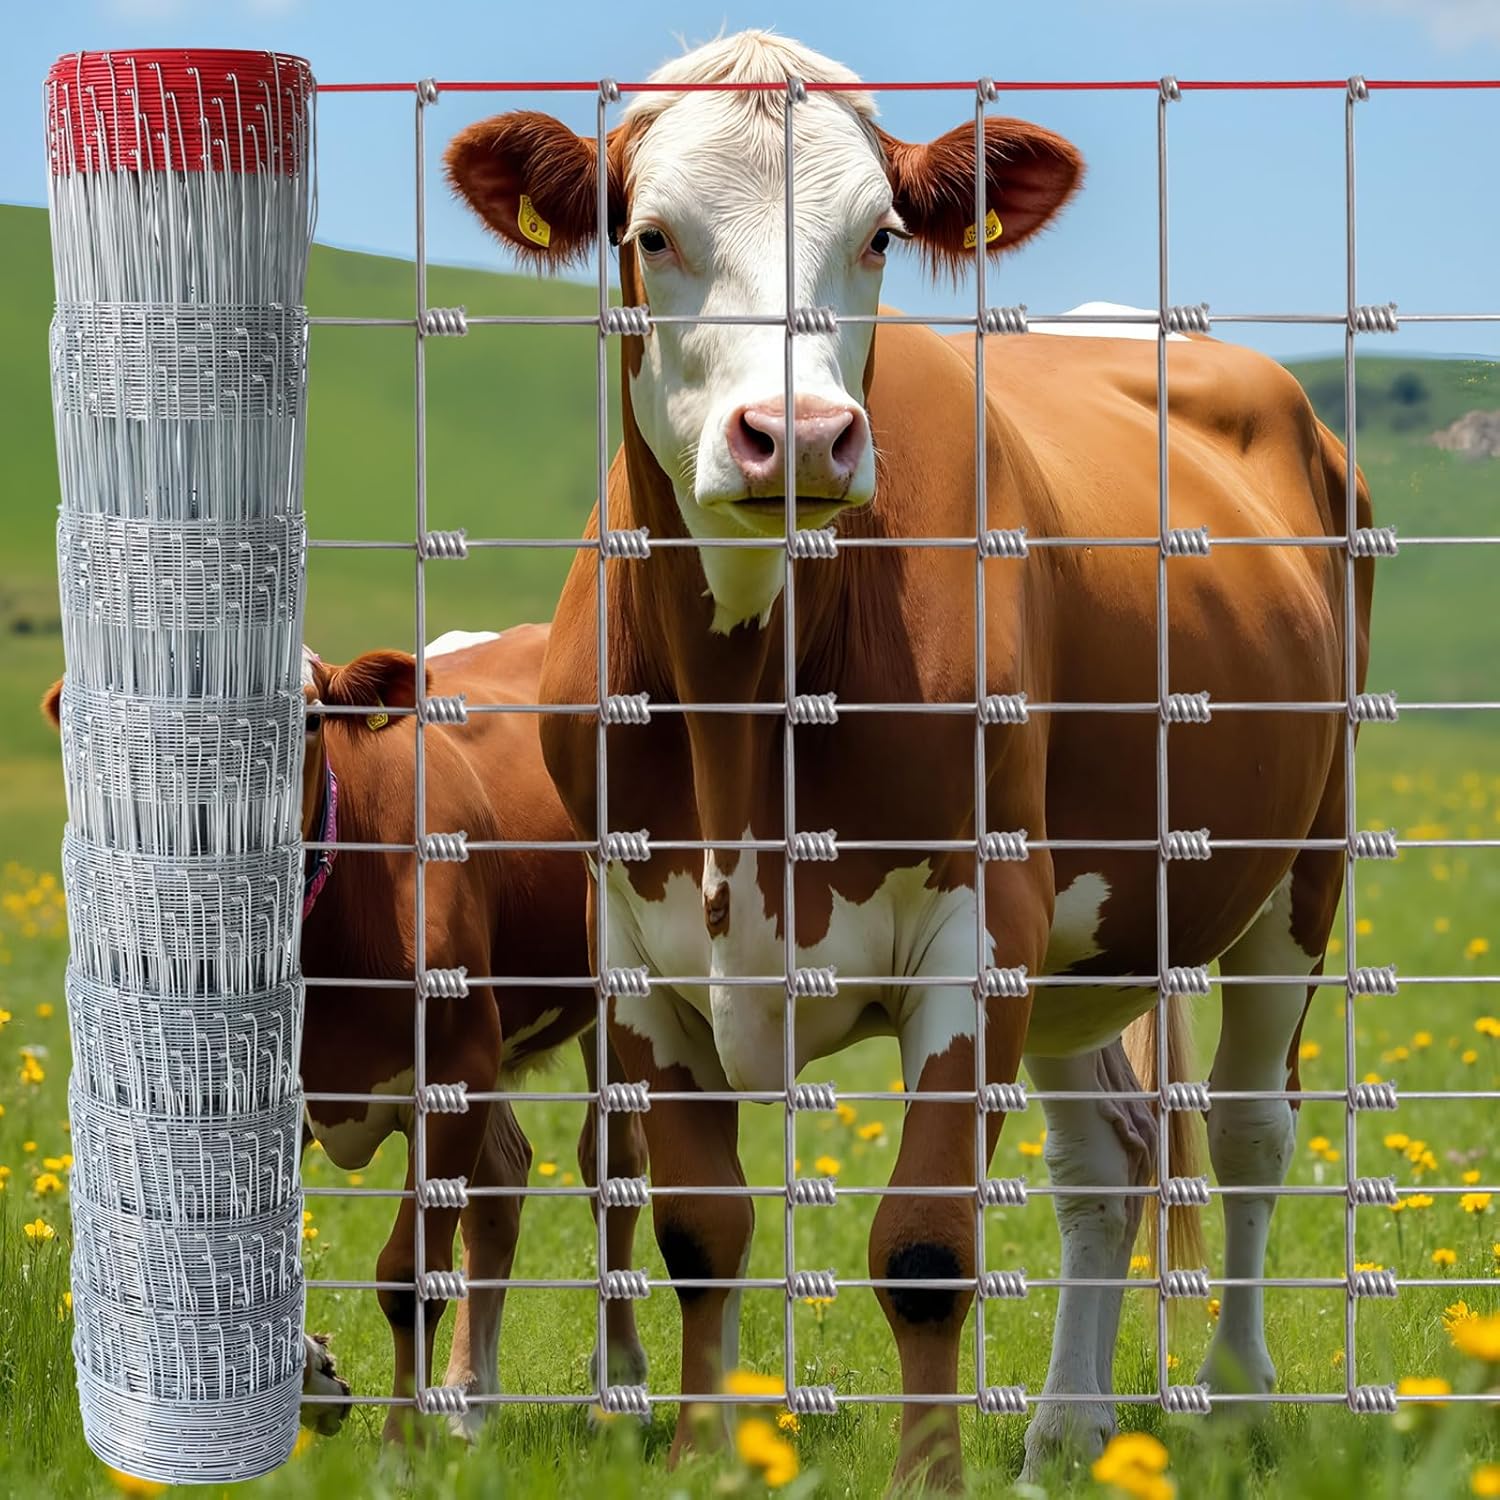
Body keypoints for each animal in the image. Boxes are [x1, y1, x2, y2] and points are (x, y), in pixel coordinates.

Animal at [44, 626, 648, 1440]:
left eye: (305, 720)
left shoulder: (451, 1074)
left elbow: (406, 1275)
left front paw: (401, 1444)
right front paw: (316, 1377)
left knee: (610, 1165)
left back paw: (616, 1388)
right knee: (504, 1181)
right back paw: (471, 1401)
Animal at [445, 29, 1372, 1490]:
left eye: (877, 235)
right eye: (651, 234)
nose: (801, 434)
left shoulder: (981, 922)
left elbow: (928, 1245)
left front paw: (927, 1471)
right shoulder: (636, 942)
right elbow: (699, 1229)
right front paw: (704, 1451)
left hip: (1298, 867)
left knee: (1246, 1128)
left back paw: (1234, 1396)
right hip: (1086, 940)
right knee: (1107, 1159)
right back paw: (1065, 1424)